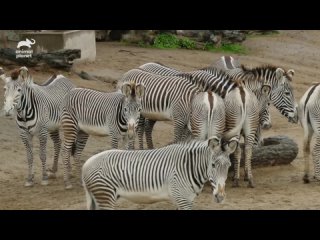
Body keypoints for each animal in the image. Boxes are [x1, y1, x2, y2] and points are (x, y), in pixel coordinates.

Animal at [81, 135, 239, 210]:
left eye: (229, 166)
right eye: (213, 165)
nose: (220, 197)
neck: (189, 166)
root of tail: (86, 163)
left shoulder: (184, 199)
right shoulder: (183, 199)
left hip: (98, 197)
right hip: (105, 195)